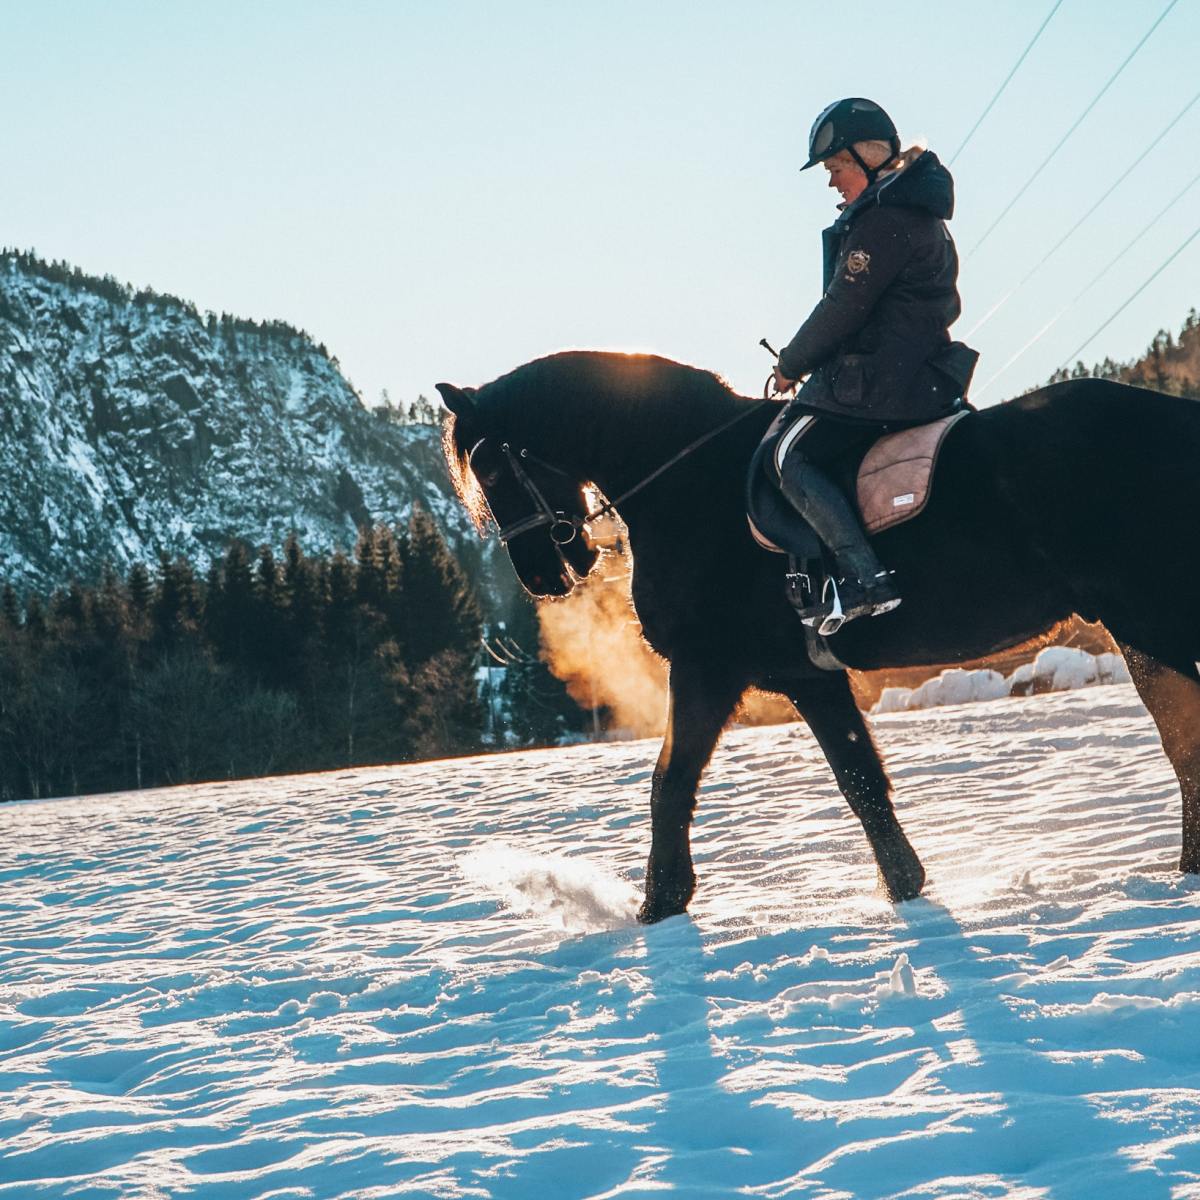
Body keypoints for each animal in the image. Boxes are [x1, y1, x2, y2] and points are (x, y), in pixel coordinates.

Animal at [437, 351, 1200, 924]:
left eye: (494, 466)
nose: (543, 576)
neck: (691, 486)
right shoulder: (807, 676)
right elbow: (858, 778)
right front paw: (906, 890)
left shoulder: (708, 667)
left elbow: (670, 783)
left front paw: (659, 906)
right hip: (1143, 626)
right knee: (1184, 742)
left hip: (1154, 617)